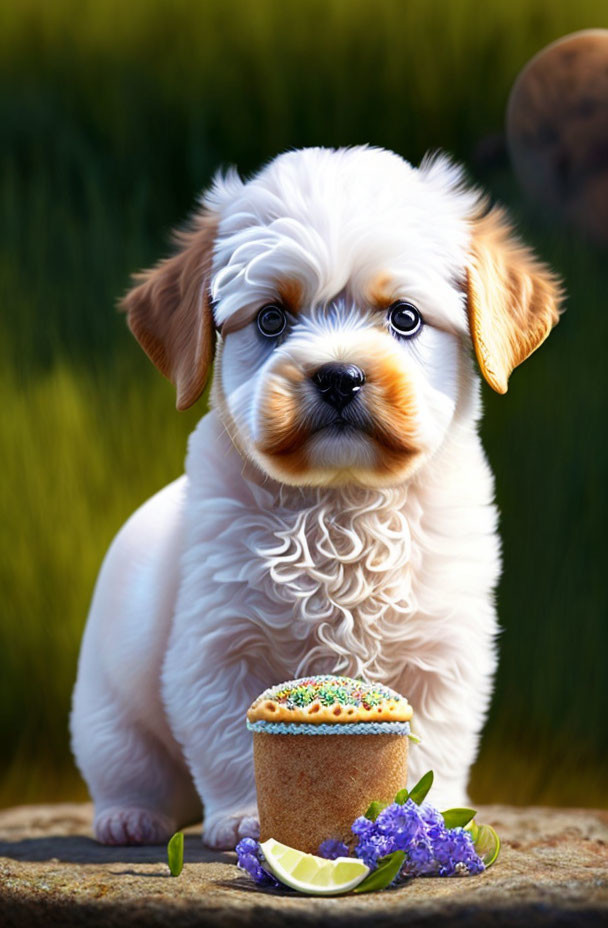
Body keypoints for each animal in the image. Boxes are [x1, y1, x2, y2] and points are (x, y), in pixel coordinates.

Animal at [70, 145, 560, 848]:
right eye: (272, 318)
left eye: (405, 318)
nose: (338, 376)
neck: (341, 502)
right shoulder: (216, 647)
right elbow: (226, 737)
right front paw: (246, 816)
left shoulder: (443, 653)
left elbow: (436, 741)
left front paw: (428, 817)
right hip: (107, 715)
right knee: (129, 769)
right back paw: (127, 817)